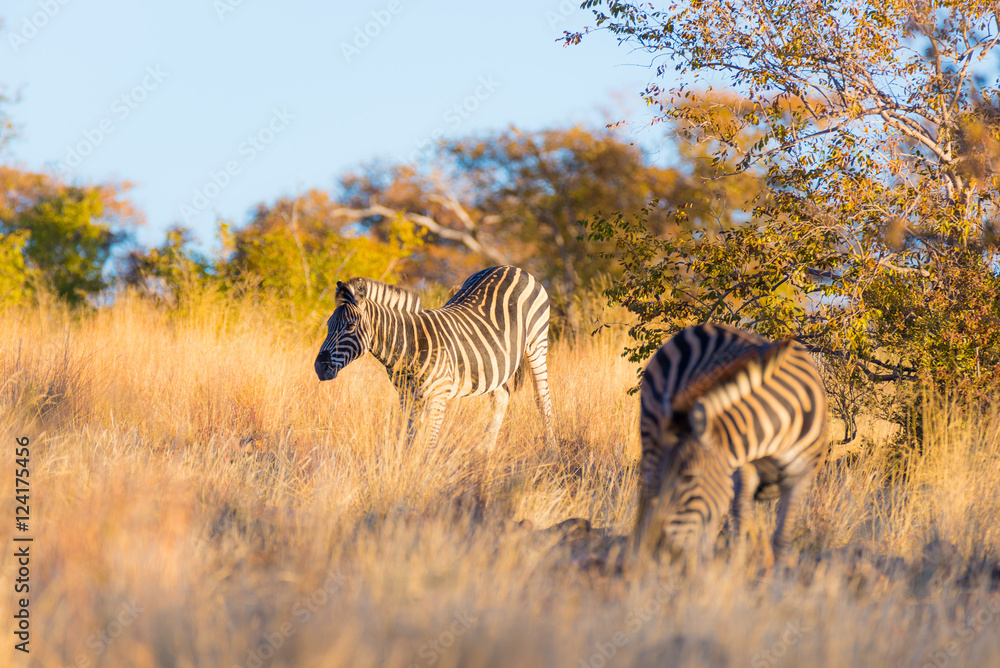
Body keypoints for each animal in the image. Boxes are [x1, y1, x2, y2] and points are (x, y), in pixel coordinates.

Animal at [314, 266, 557, 457]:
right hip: (495, 361)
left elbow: (429, 442)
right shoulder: (407, 396)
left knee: (542, 398)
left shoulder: (438, 395)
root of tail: (513, 268)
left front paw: (424, 477)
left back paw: (551, 451)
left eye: (350, 327)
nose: (319, 367)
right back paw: (484, 451)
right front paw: (405, 468)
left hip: (537, 343)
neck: (408, 347)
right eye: (328, 325)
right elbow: (409, 438)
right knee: (501, 396)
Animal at [633, 323, 828, 566]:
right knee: (650, 494)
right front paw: (736, 564)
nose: (660, 548)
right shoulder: (741, 468)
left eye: (689, 477)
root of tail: (699, 327)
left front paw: (779, 570)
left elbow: (781, 535)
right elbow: (741, 516)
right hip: (652, 433)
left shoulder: (801, 477)